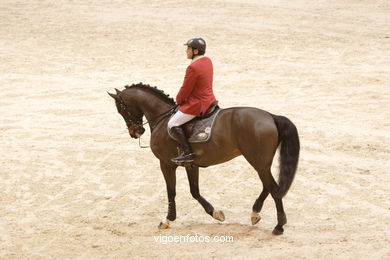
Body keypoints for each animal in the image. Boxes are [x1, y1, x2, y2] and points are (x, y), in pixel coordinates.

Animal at [108, 83, 300, 236]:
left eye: (121, 109)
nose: (135, 132)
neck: (162, 118)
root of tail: (271, 116)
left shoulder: (166, 164)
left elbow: (171, 191)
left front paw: (167, 220)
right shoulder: (191, 165)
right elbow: (195, 191)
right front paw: (215, 213)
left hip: (258, 162)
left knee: (273, 188)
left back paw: (278, 226)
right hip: (261, 163)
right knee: (268, 186)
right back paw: (255, 213)